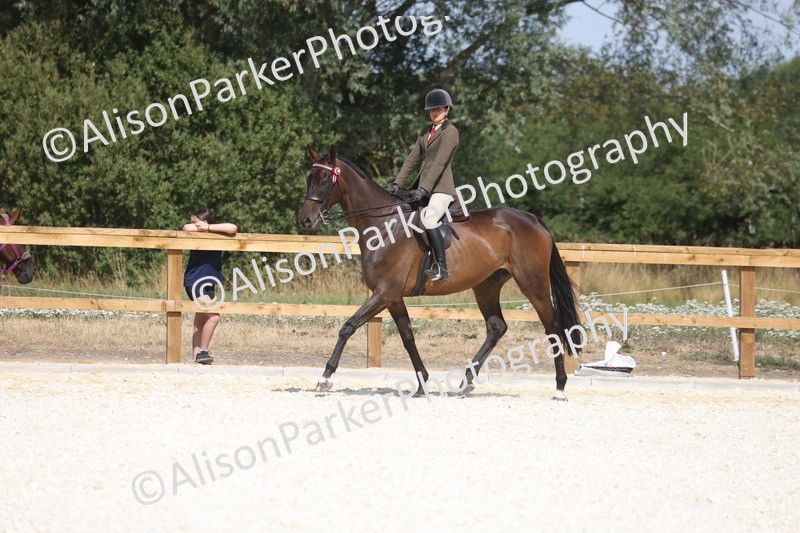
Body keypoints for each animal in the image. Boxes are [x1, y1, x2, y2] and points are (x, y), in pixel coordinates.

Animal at [298, 146, 581, 400]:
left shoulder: (384, 293)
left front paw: (324, 378)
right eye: (309, 179)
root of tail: (532, 220)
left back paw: (559, 388)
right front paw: (422, 384)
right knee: (496, 327)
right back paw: (466, 383)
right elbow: (408, 337)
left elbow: (348, 327)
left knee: (554, 328)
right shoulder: (393, 297)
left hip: (533, 285)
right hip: (486, 286)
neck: (384, 226)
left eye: (324, 180)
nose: (305, 221)